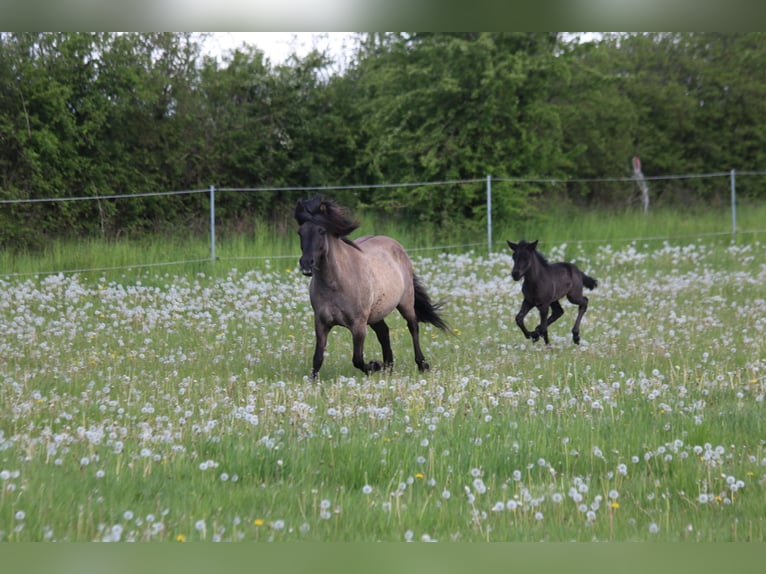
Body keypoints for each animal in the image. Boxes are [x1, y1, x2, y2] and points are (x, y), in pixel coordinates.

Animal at [295, 195, 449, 377]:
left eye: (321, 231)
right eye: (300, 232)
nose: (306, 264)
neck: (336, 284)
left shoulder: (358, 325)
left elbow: (357, 359)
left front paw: (375, 365)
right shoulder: (321, 323)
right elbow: (317, 358)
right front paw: (313, 381)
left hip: (405, 303)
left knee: (413, 327)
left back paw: (421, 365)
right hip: (375, 314)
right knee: (384, 332)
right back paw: (389, 367)